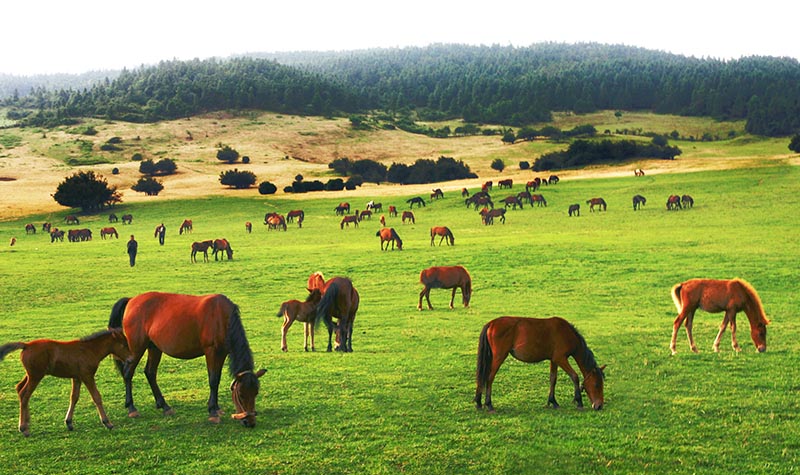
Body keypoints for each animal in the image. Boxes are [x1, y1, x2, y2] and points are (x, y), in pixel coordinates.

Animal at [0, 330, 131, 436]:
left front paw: (69, 422)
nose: (130, 359)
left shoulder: (77, 377)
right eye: (123, 344)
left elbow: (74, 397)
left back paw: (26, 423)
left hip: (30, 375)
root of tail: (26, 345)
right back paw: (24, 428)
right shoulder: (87, 376)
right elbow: (96, 397)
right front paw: (107, 423)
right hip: (35, 376)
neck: (89, 349)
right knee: (25, 395)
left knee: (19, 389)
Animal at [108, 294, 266, 428]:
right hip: (137, 348)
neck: (222, 317)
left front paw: (216, 408)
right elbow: (213, 380)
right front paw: (212, 412)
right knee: (128, 373)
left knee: (150, 373)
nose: (250, 422)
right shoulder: (211, 351)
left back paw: (164, 406)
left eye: (256, 393)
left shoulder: (221, 353)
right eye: (241, 395)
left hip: (154, 347)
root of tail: (131, 300)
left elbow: (217, 380)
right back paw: (131, 408)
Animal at [476, 318, 608, 414]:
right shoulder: (560, 359)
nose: (599, 405)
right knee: (489, 378)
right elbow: (574, 376)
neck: (566, 333)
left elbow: (553, 379)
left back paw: (478, 403)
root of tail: (491, 324)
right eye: (596, 385)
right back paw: (489, 404)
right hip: (499, 357)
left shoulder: (554, 360)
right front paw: (579, 402)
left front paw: (553, 402)